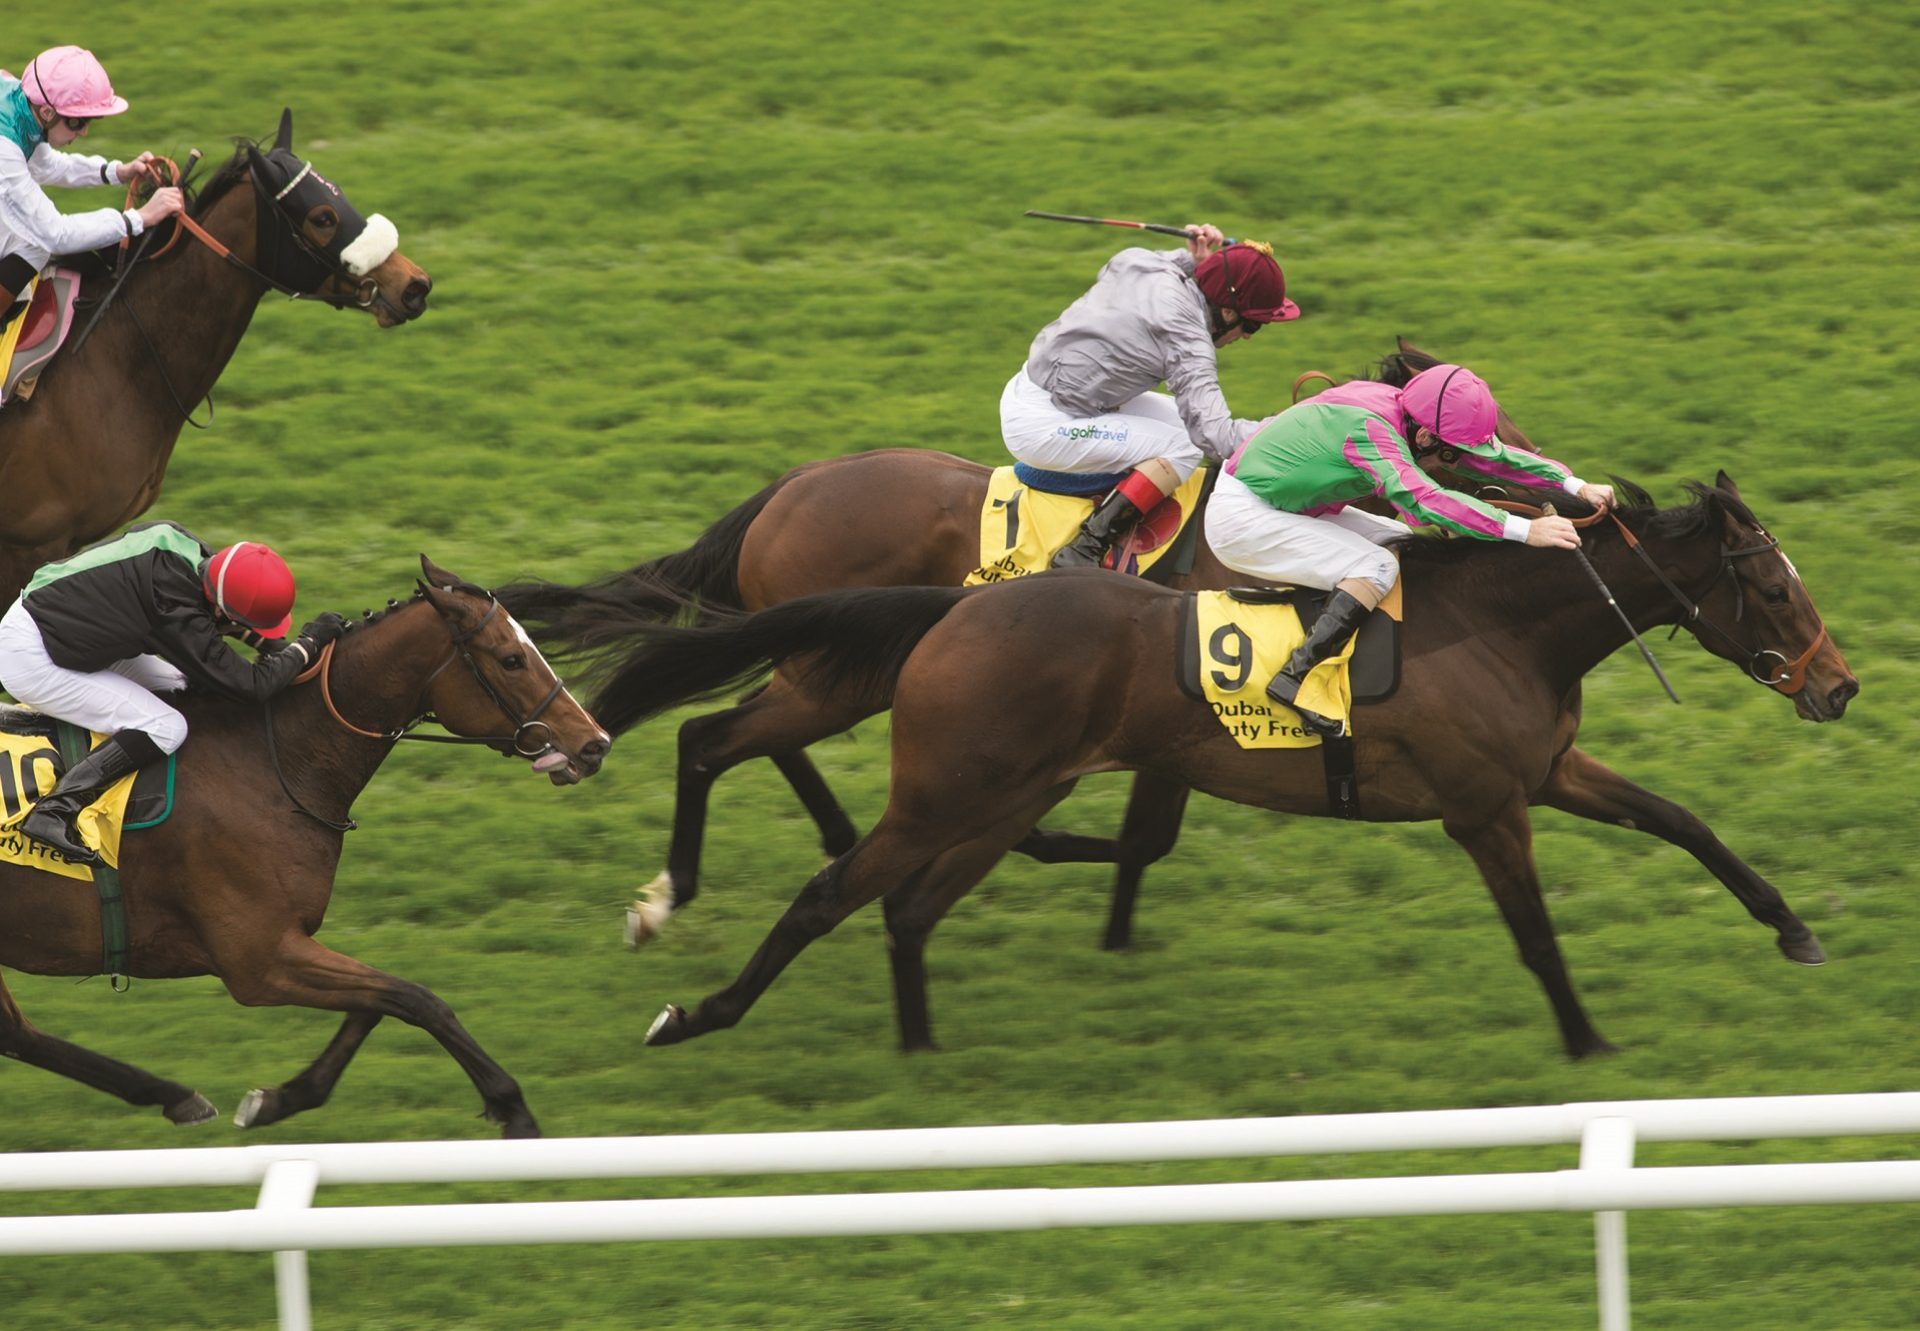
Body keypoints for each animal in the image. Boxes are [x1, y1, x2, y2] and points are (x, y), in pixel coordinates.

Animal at [0, 556, 606, 1137]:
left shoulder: (283, 948)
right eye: (511, 659)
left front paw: (280, 1099)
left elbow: (376, 1004)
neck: (272, 760)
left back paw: (172, 1096)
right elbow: (418, 999)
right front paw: (513, 1107)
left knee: (17, 1033)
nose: (593, 743)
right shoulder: (260, 960)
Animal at [506, 338, 1528, 948]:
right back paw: (671, 893)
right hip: (836, 673)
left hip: (835, 665)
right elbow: (1144, 834)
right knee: (713, 738)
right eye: (1487, 430)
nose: (1544, 476)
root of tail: (787, 489)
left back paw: (838, 839)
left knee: (746, 736)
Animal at [564, 472, 1843, 1052]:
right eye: (1776, 588)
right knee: (826, 877)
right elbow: (1534, 931)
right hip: (941, 783)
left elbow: (1684, 820)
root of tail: (958, 608)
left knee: (899, 899)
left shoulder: (1542, 771)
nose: (1840, 685)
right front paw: (1585, 1041)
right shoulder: (1485, 806)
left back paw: (920, 1047)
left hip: (986, 787)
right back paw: (697, 1009)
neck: (1501, 622)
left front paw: (1793, 927)